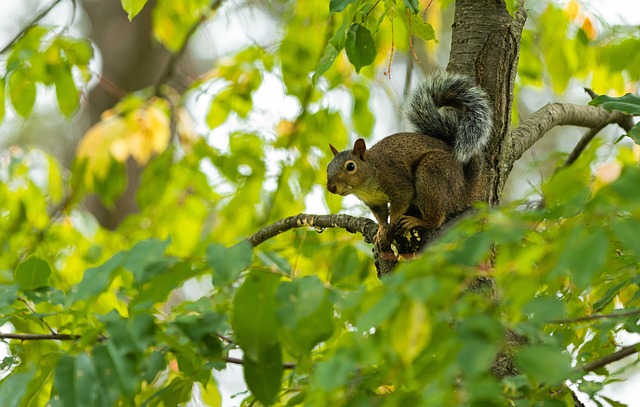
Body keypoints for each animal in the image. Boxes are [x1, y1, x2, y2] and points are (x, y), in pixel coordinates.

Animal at [328, 72, 492, 245]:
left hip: (431, 173)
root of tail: (465, 189)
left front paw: (392, 224)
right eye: (328, 167)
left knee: (436, 219)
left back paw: (418, 221)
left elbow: (400, 204)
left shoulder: (397, 184)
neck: (365, 184)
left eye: (351, 166)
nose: (331, 188)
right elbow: (381, 216)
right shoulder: (375, 203)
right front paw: (381, 230)